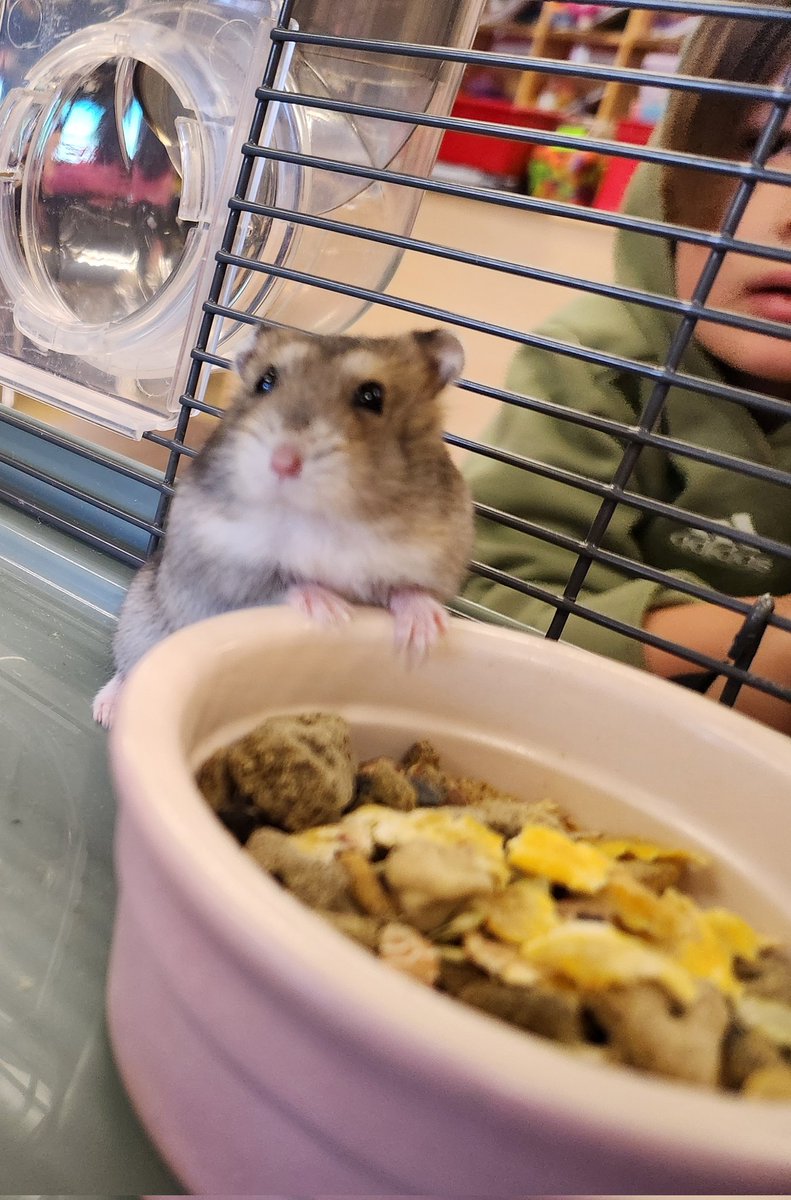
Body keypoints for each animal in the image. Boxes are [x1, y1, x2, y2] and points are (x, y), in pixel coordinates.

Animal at [92, 325, 474, 728]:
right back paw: (107, 710)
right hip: (140, 625)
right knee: (127, 669)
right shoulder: (219, 568)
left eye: (372, 396)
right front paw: (334, 614)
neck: (323, 515)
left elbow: (409, 590)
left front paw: (426, 633)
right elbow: (278, 583)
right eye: (266, 382)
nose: (283, 462)